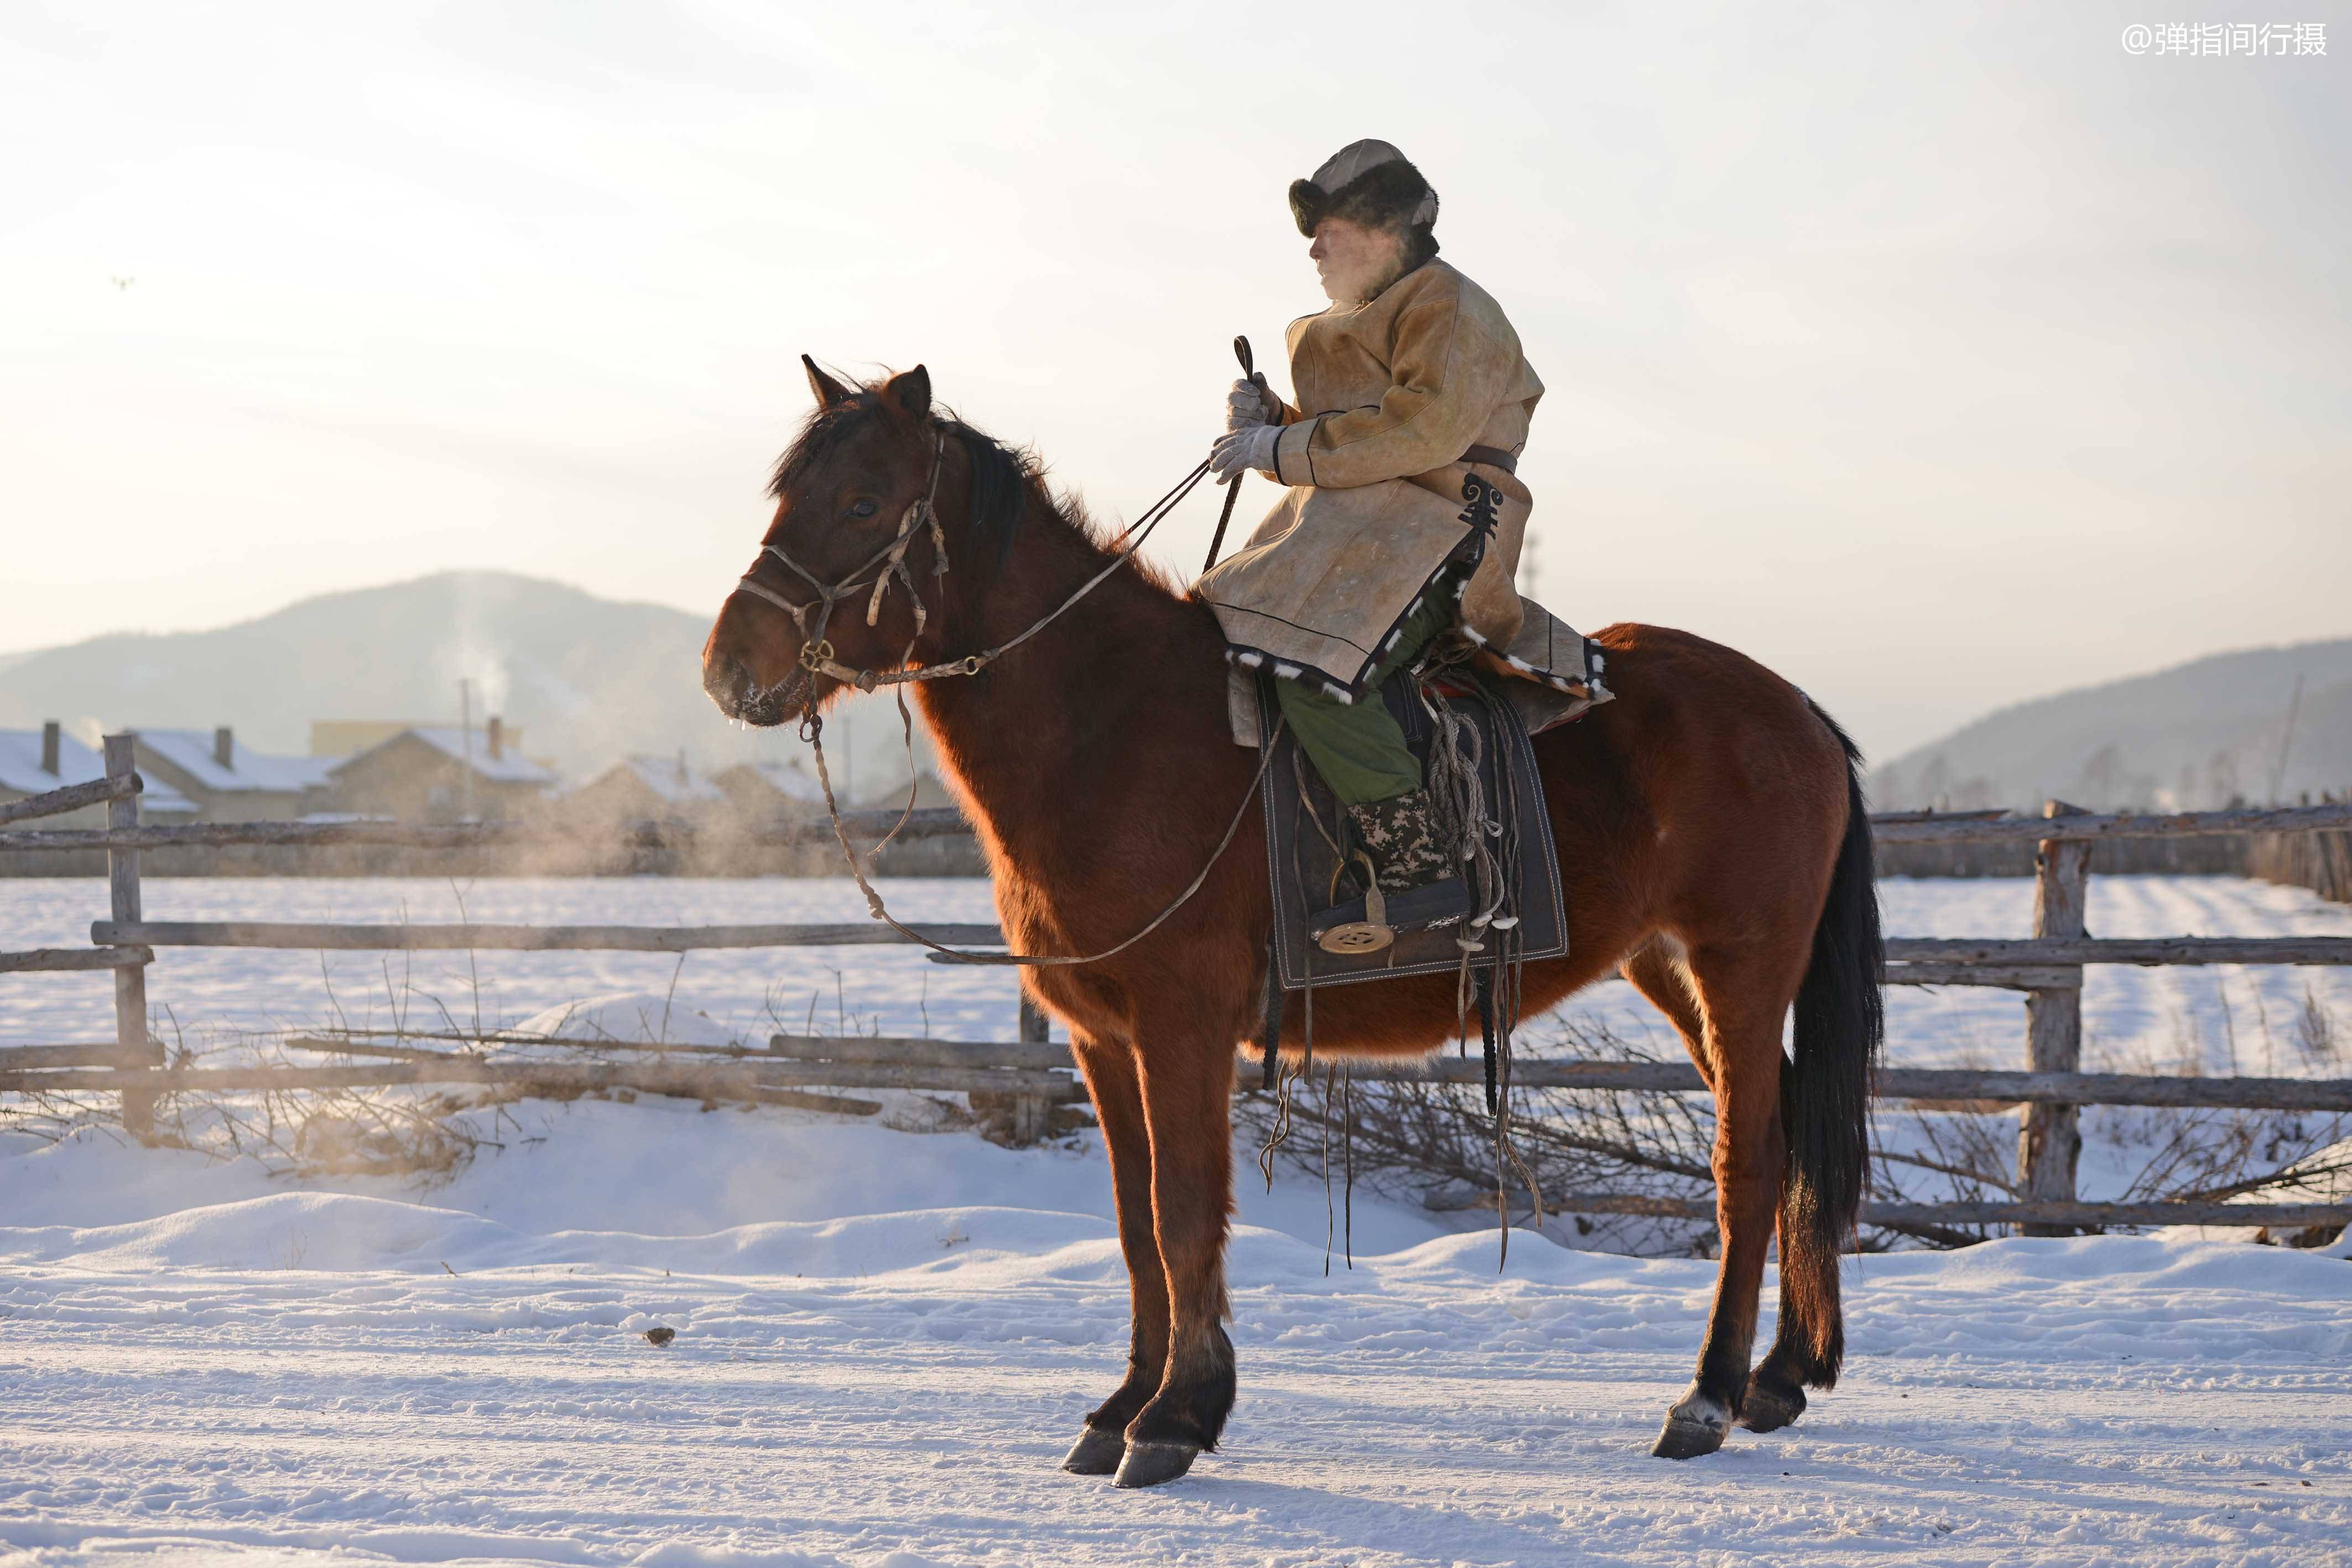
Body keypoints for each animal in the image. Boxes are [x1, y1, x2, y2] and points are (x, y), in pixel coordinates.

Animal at [691, 362, 1872, 1495]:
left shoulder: (1181, 1028)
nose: (728, 666)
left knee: (1746, 1166)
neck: (1108, 728)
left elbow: (1183, 1211)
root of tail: (1794, 709)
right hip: (1670, 970)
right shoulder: (1102, 1039)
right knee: (1779, 1148)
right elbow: (1135, 1223)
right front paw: (1123, 1407)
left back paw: (1707, 1398)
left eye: (862, 501)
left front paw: (1176, 1416)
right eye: (788, 495)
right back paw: (1775, 1378)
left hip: (1739, 965)